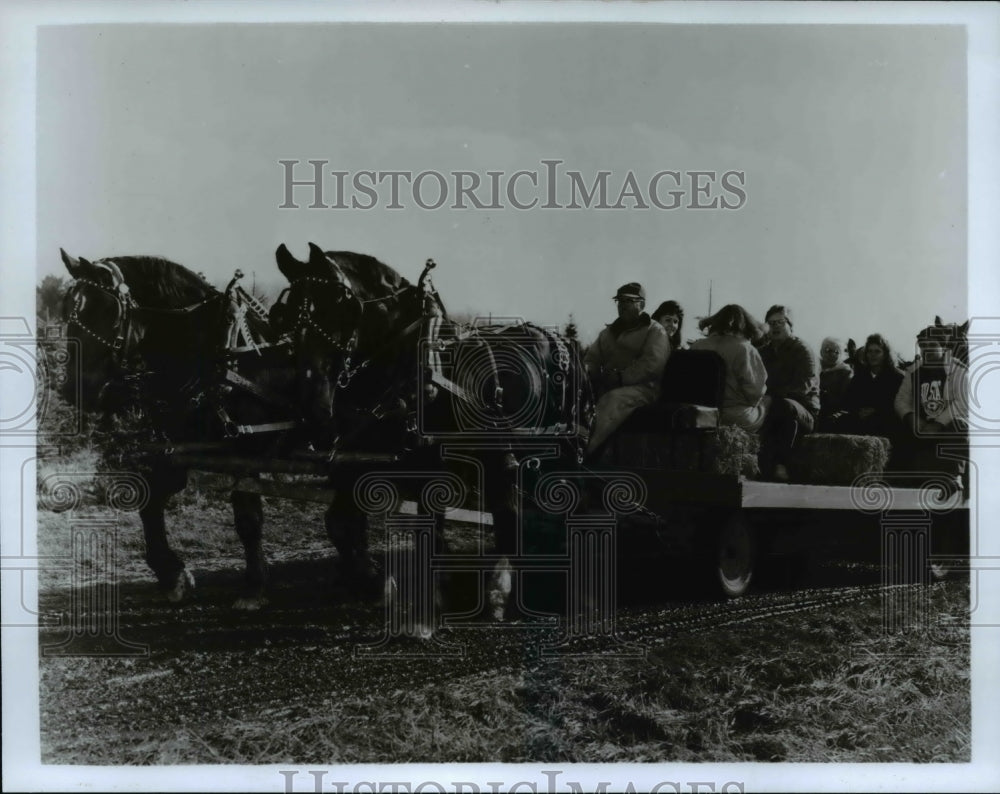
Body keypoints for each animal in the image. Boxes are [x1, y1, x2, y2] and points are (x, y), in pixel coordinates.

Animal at [57, 248, 298, 608]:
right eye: (66, 312)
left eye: (107, 312)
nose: (73, 390)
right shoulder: (187, 446)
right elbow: (152, 498)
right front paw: (172, 574)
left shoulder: (249, 448)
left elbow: (248, 516)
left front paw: (254, 586)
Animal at [270, 241, 588, 624]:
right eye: (284, 316)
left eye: (342, 308)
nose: (312, 405)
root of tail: (556, 336)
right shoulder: (367, 461)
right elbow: (343, 524)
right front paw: (374, 582)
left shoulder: (460, 462)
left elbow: (473, 525)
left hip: (551, 450)